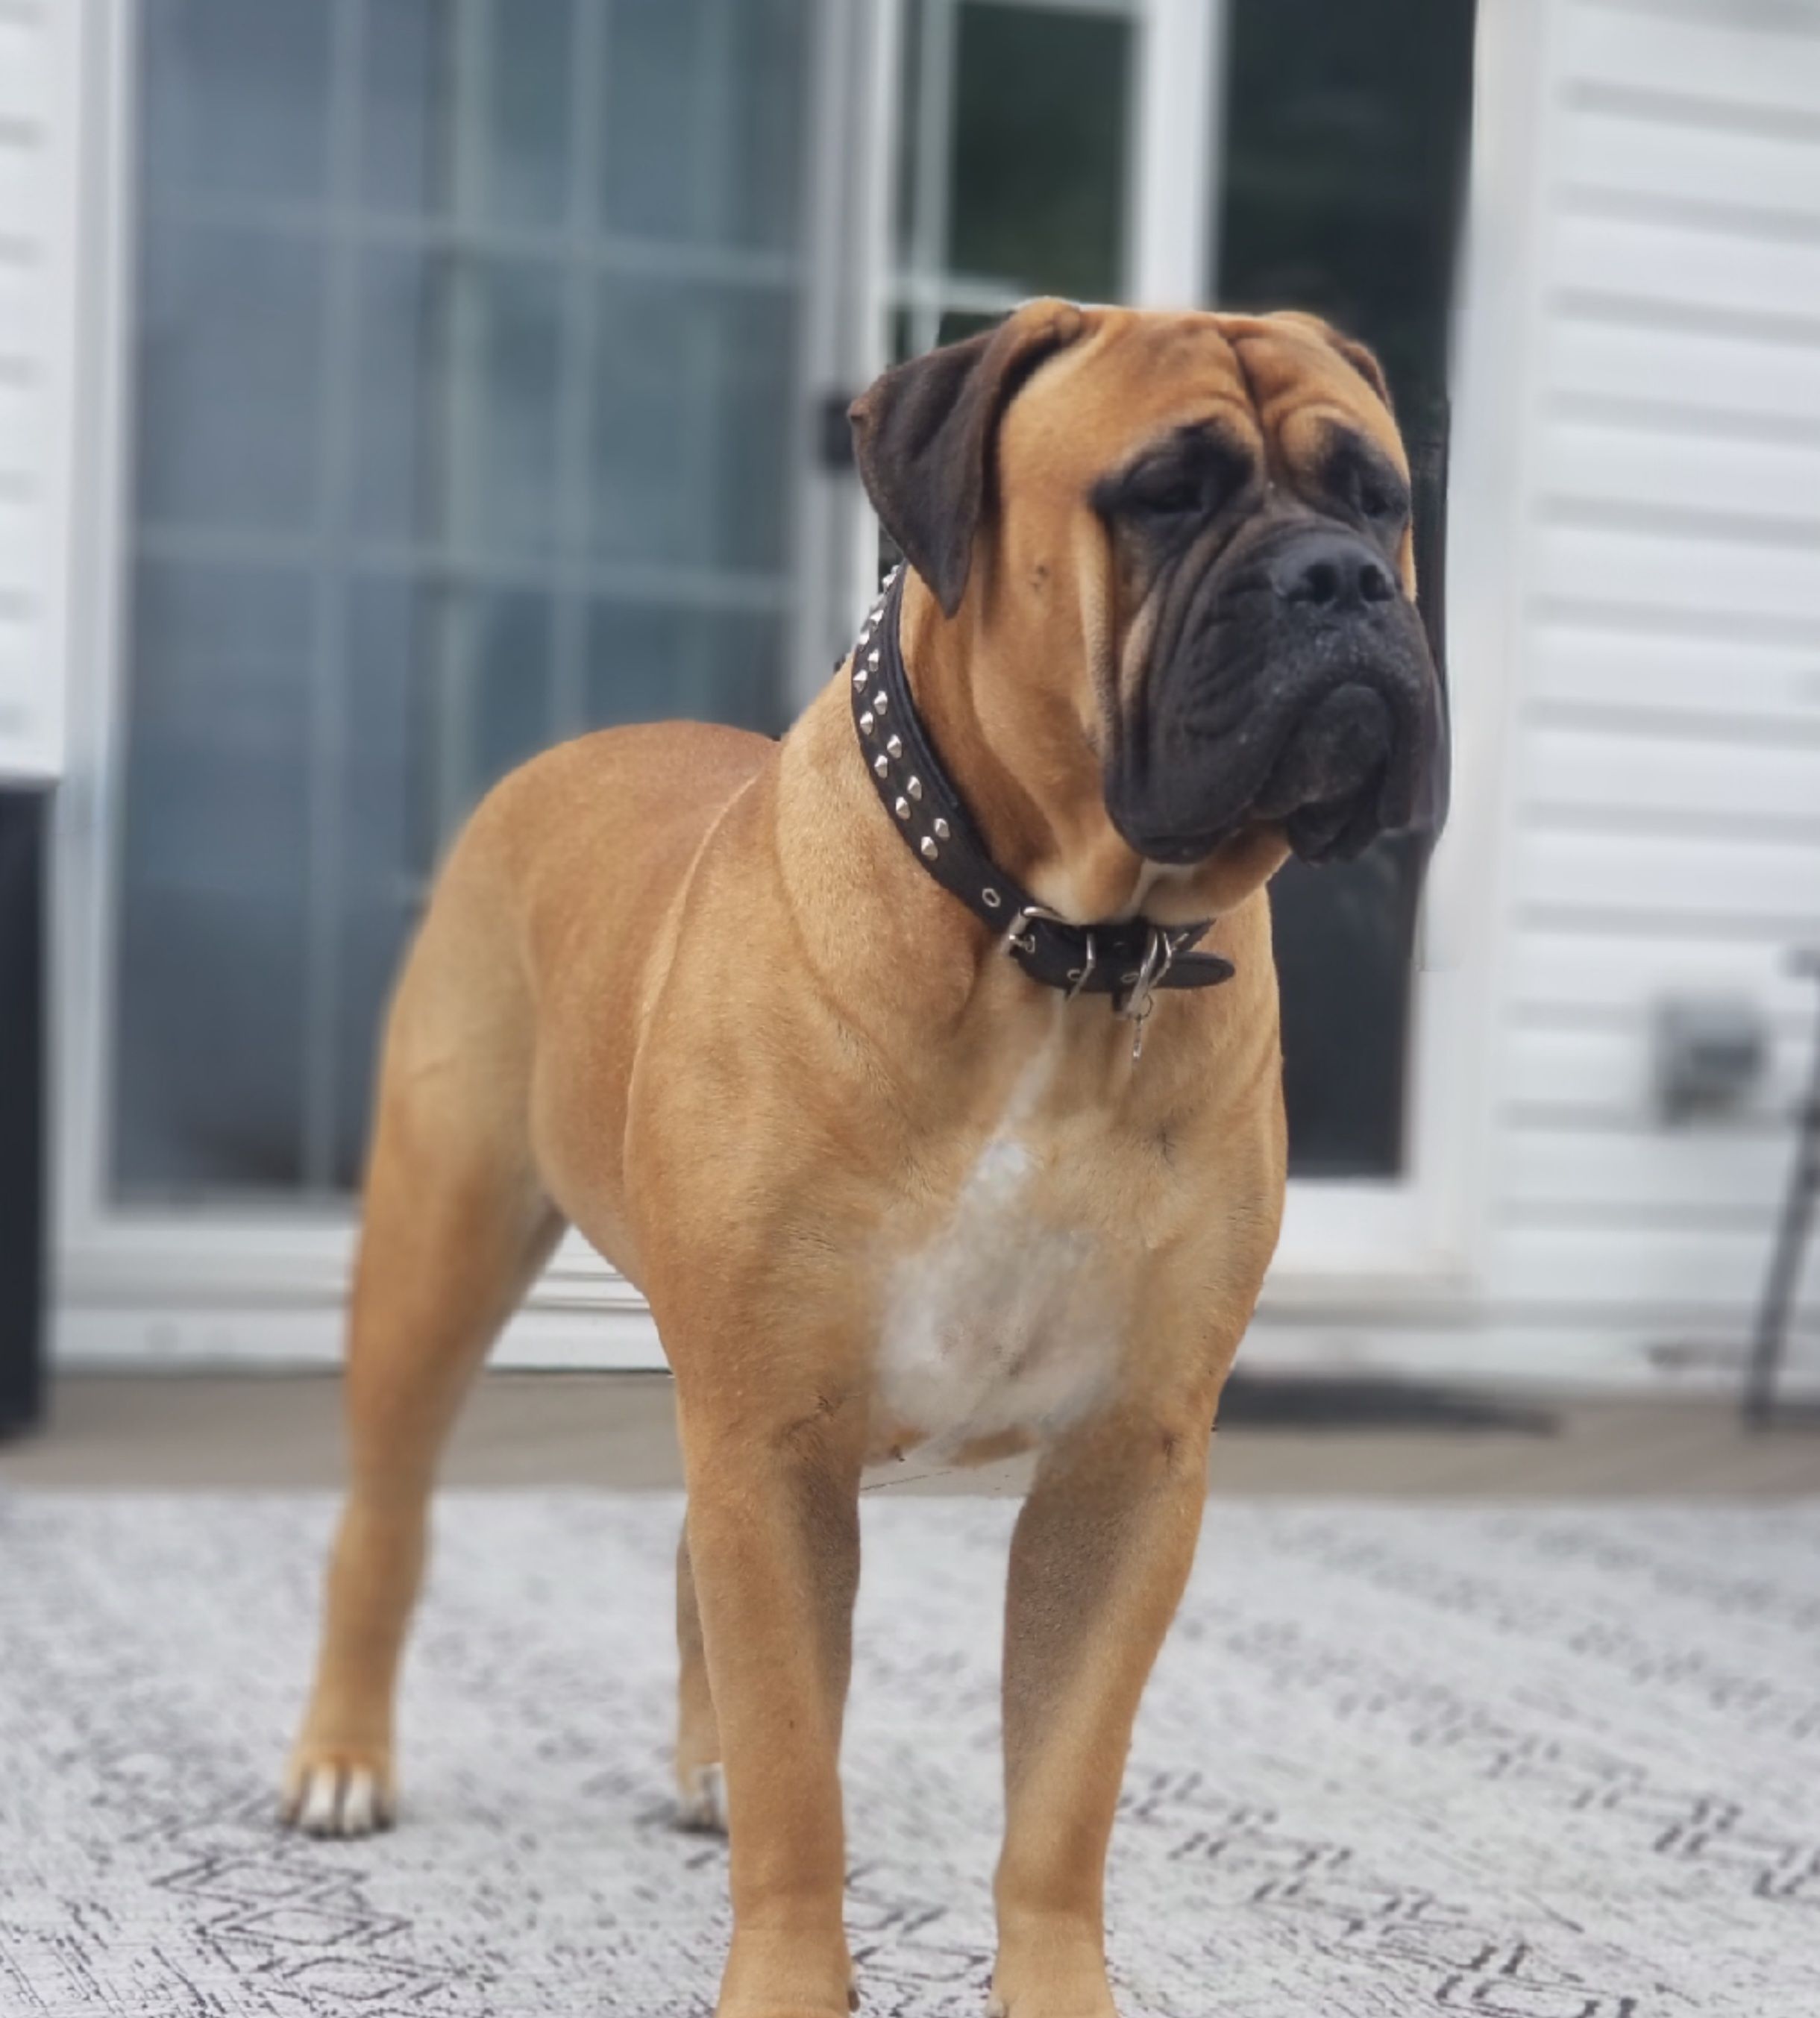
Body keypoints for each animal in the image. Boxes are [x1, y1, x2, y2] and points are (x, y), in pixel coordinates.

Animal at [283, 300, 1445, 2018]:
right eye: (1162, 495)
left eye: (1378, 497)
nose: (1340, 580)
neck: (1057, 949)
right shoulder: (776, 1443)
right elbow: (799, 1778)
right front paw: (787, 1972)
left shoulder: (1124, 1468)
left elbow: (1061, 1797)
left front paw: (1053, 1987)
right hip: (446, 1239)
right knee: (386, 1515)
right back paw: (342, 1759)